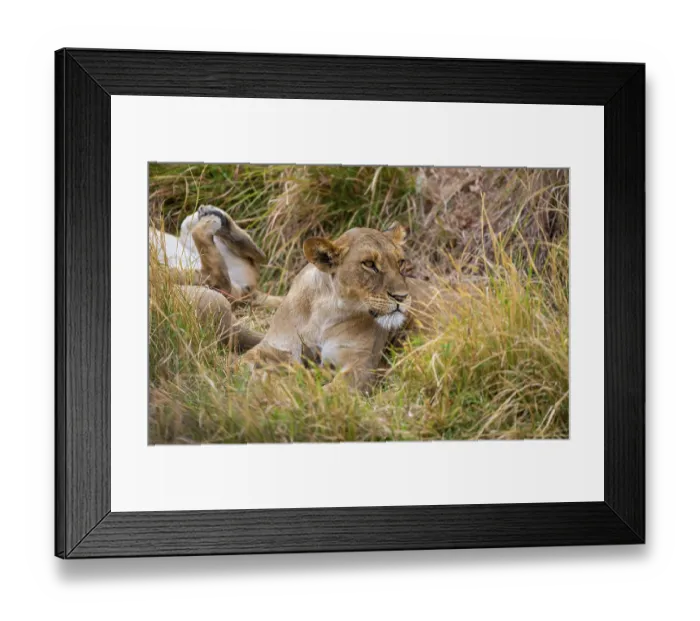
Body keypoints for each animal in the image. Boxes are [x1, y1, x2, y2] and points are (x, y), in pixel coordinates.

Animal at [241, 223, 447, 390]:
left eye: (400, 262)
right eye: (369, 264)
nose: (401, 297)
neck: (327, 310)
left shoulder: (361, 366)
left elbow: (331, 392)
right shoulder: (273, 345)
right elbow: (242, 362)